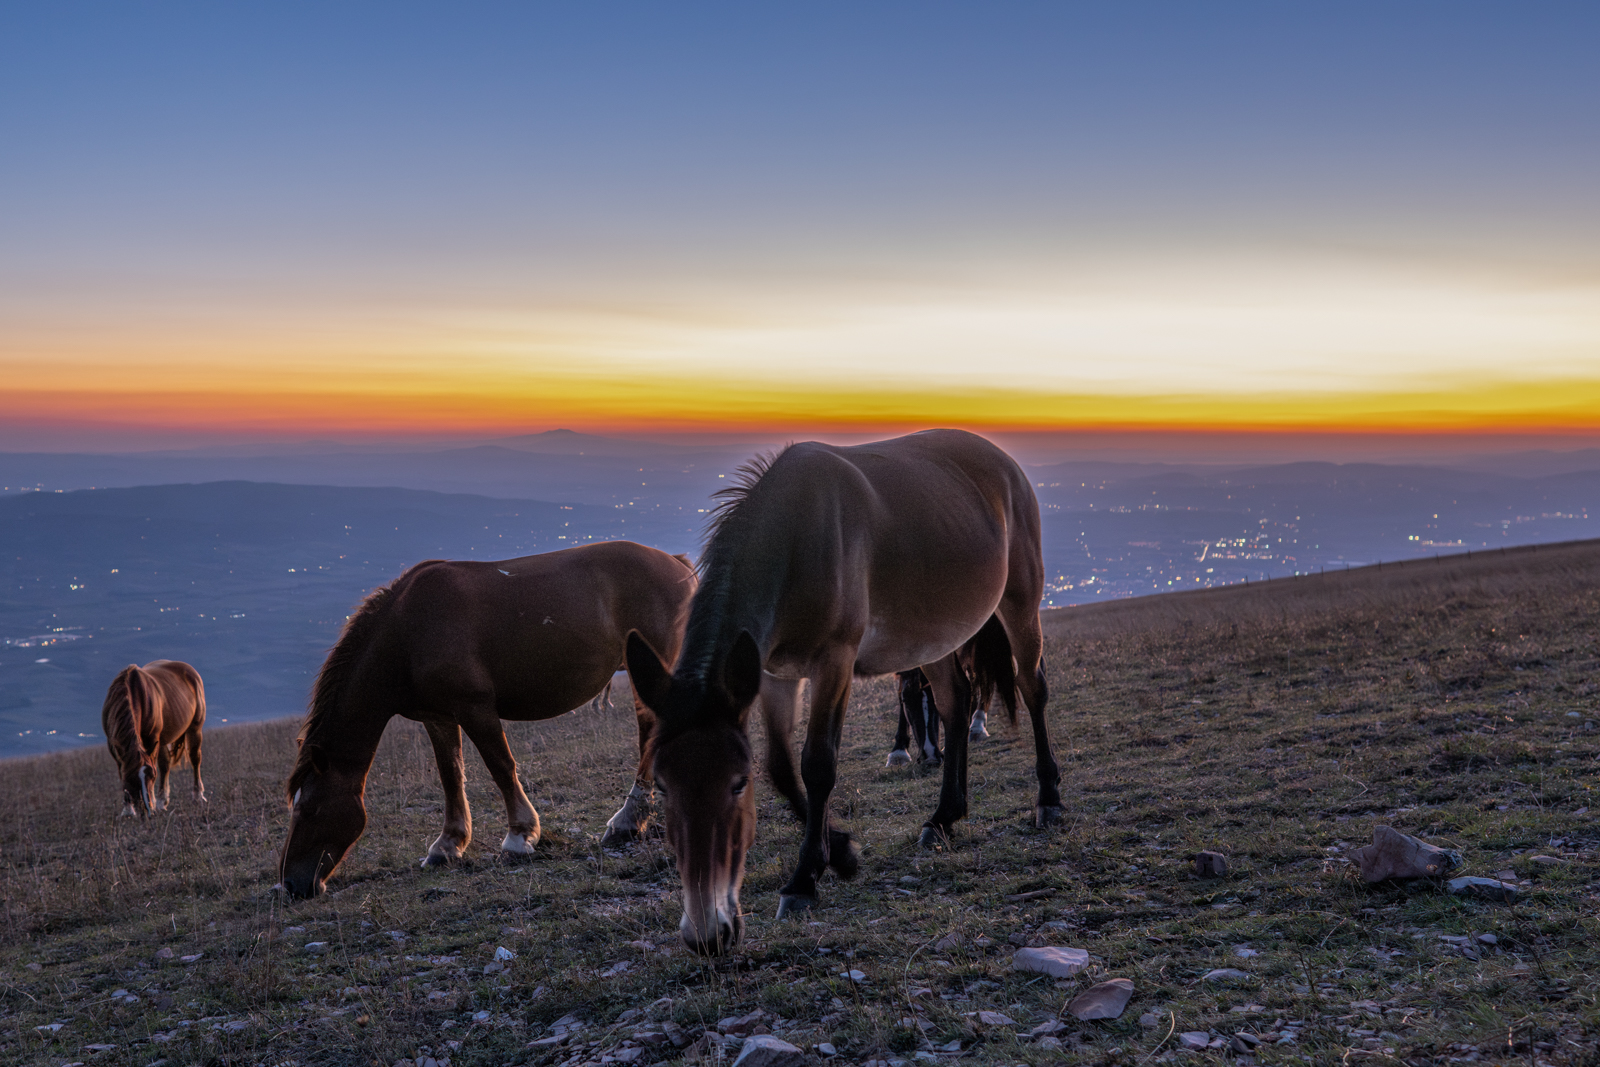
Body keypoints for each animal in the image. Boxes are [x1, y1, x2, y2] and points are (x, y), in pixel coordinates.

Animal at [101, 660, 207, 816]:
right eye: (131, 780)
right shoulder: (113, 744)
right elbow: (122, 771)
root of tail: (191, 671)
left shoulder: (151, 739)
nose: (147, 809)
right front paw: (127, 811)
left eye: (152, 776)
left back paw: (198, 796)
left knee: (195, 759)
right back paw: (162, 802)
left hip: (194, 729)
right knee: (165, 764)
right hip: (162, 739)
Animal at [278, 541, 696, 899]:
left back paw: (628, 820)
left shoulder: (475, 708)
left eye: (309, 810)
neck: (409, 631)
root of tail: (676, 564)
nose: (292, 884)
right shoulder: (438, 717)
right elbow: (450, 777)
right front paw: (447, 846)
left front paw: (520, 836)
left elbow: (500, 766)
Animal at [625, 428, 1062, 954]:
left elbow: (817, 764)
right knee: (955, 705)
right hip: (934, 634)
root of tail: (1003, 461)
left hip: (1021, 599)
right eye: (663, 786)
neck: (795, 540)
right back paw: (943, 817)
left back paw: (1048, 799)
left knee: (1032, 688)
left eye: (737, 784)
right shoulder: (772, 671)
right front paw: (841, 853)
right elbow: (781, 767)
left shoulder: (835, 661)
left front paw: (803, 881)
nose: (707, 934)